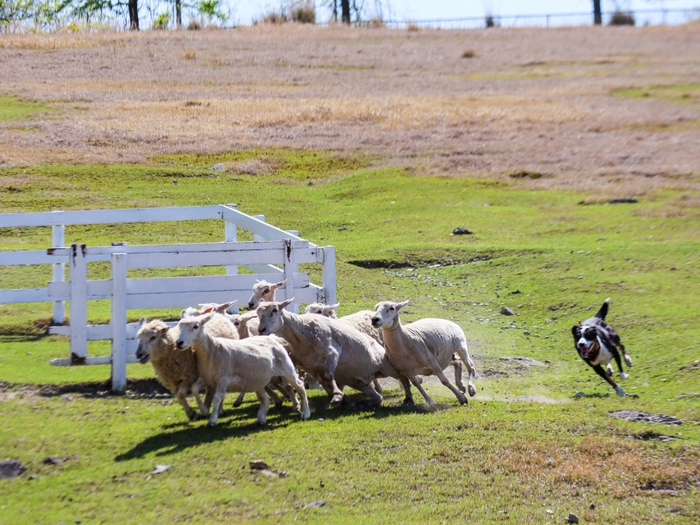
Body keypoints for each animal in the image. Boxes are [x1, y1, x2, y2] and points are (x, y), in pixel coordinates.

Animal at [174, 312, 308, 426]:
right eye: (179, 326)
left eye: (195, 326)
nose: (178, 343)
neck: (213, 350)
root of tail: (271, 337)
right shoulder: (205, 377)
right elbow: (194, 389)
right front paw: (203, 409)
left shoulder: (224, 379)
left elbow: (217, 398)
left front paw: (212, 420)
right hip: (257, 379)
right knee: (265, 400)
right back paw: (261, 418)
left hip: (286, 368)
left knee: (299, 385)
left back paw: (305, 413)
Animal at [256, 298, 416, 406]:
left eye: (275, 310)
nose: (261, 330)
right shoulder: (310, 365)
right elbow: (325, 380)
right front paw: (339, 397)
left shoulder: (332, 351)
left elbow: (329, 374)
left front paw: (338, 396)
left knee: (399, 375)